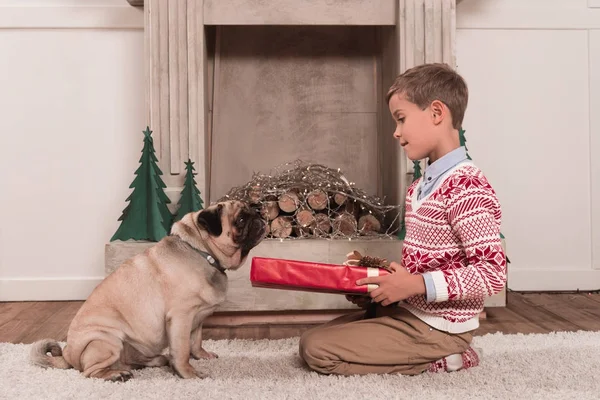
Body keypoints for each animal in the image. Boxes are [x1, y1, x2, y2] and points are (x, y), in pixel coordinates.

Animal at [29, 200, 266, 382]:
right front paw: (188, 373)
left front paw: (202, 355)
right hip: (107, 340)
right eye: (240, 220)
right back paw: (115, 375)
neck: (202, 251)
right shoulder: (181, 318)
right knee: (90, 372)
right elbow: (182, 351)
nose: (259, 213)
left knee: (133, 361)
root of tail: (67, 354)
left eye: (253, 209)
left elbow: (196, 342)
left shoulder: (197, 319)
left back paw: (156, 361)